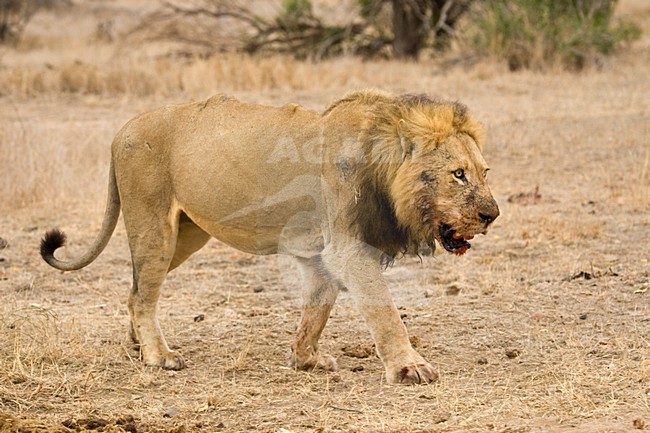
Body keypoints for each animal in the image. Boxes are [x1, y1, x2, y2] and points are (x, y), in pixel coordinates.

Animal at [40, 91, 499, 385]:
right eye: (458, 174)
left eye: (484, 172)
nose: (491, 215)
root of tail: (122, 130)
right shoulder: (349, 249)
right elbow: (385, 312)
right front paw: (409, 368)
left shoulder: (321, 254)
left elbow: (316, 310)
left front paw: (306, 358)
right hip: (153, 222)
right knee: (142, 294)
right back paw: (160, 357)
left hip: (185, 234)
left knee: (136, 290)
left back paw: (138, 343)